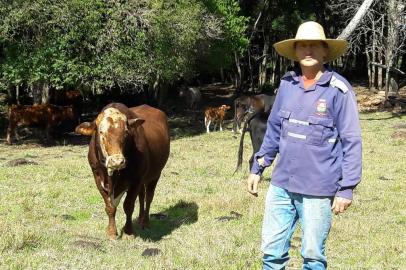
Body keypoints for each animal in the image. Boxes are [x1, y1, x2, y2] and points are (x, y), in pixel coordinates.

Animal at [75, 102, 170, 239]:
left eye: (126, 132)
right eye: (101, 131)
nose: (117, 161)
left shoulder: (136, 179)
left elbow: (128, 206)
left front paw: (128, 232)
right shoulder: (97, 178)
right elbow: (110, 207)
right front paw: (111, 232)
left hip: (155, 174)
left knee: (148, 197)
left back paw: (145, 222)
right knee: (142, 196)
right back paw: (140, 218)